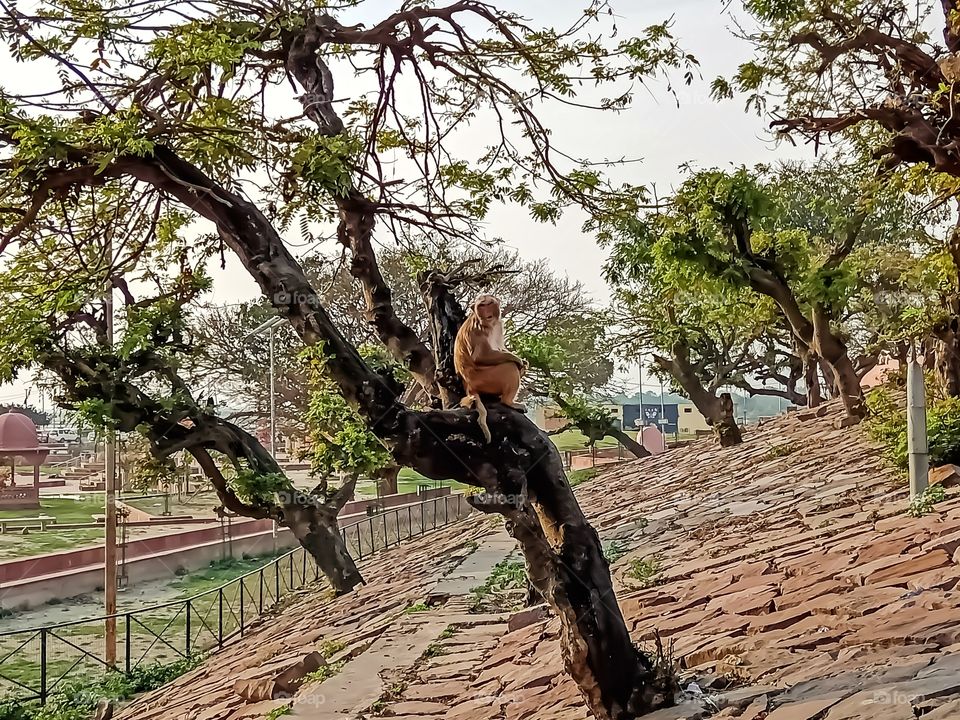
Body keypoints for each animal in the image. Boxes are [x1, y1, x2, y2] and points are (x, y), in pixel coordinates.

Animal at [454, 294, 526, 443]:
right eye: (482, 305)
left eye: (489, 304)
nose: (487, 313)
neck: (490, 324)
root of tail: (468, 385)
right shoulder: (478, 331)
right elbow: (480, 357)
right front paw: (517, 359)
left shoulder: (498, 325)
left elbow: (500, 347)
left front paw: (521, 361)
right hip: (485, 379)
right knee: (510, 367)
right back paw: (508, 401)